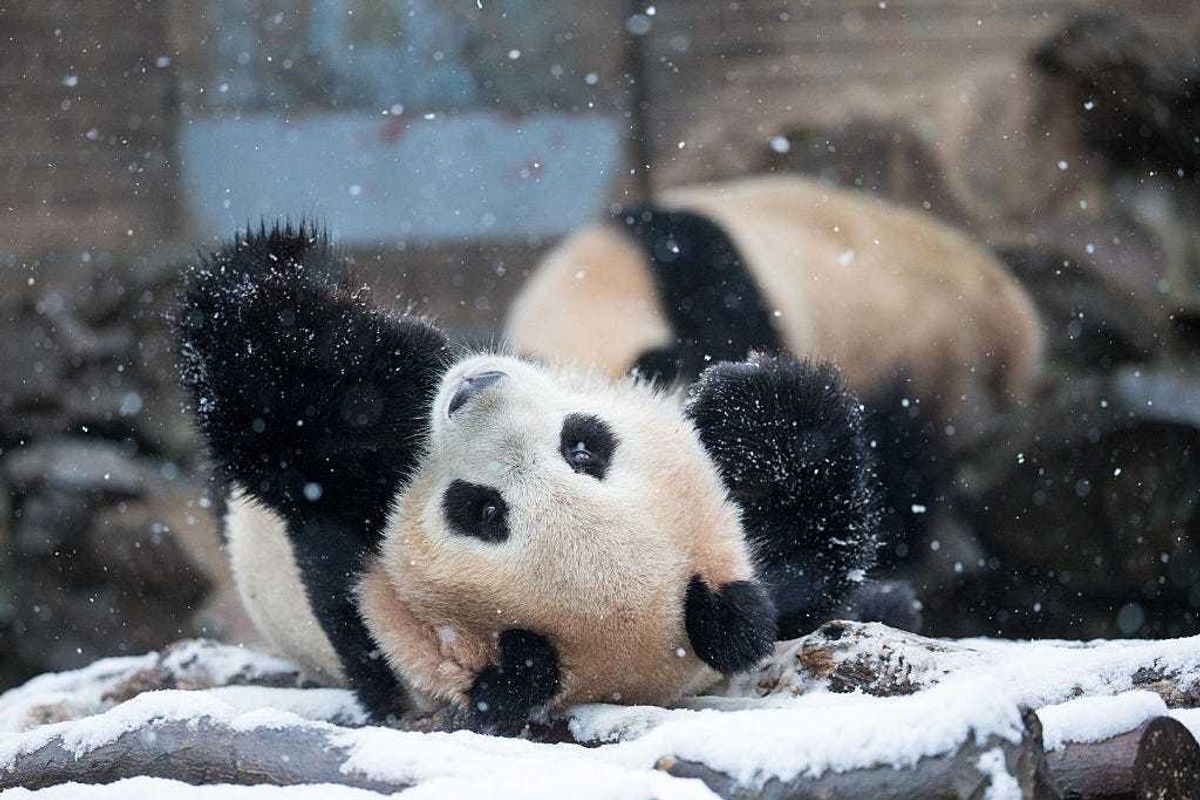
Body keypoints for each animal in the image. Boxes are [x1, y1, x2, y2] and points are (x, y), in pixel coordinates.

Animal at [174, 223, 884, 733]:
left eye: (481, 511)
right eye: (584, 448)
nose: (472, 390)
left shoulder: (367, 584)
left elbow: (289, 421)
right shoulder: (747, 574)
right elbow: (806, 556)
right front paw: (743, 408)